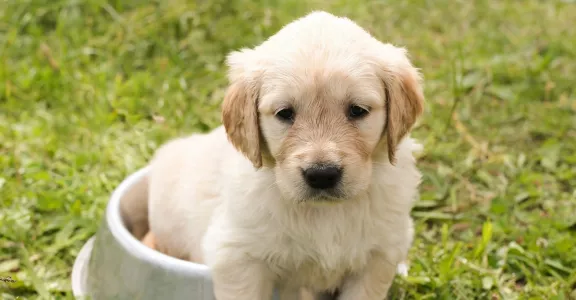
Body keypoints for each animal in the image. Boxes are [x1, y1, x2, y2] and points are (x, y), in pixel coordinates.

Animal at [145, 11, 424, 300]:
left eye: (357, 110)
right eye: (284, 113)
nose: (322, 175)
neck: (324, 213)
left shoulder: (379, 256)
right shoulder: (238, 257)